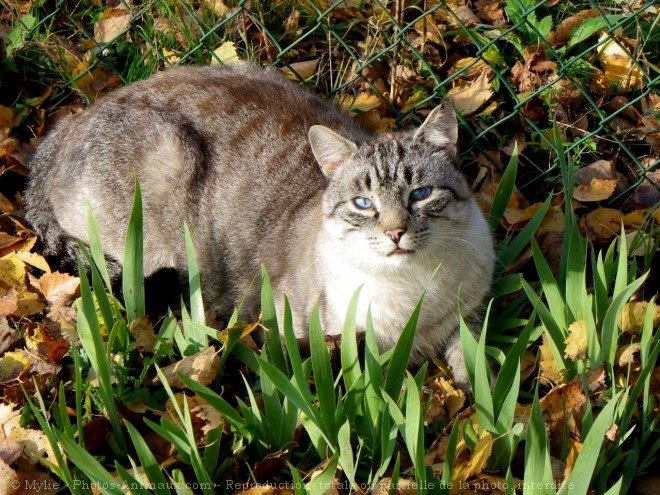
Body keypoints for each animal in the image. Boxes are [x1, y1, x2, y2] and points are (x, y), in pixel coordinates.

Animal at [25, 62, 496, 390]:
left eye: (420, 194)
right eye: (363, 204)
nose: (395, 233)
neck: (411, 295)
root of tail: (70, 122)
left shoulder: (470, 312)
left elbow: (472, 360)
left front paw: (482, 407)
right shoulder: (299, 334)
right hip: (163, 181)